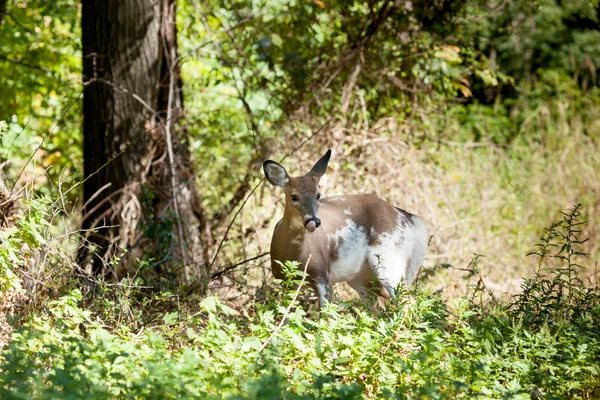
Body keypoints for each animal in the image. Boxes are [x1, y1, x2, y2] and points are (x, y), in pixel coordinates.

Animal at [262, 148, 426, 308]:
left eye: (318, 195)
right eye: (294, 197)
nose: (314, 221)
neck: (294, 255)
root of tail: (410, 218)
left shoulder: (323, 275)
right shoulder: (286, 280)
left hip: (390, 259)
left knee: (407, 303)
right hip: (362, 278)